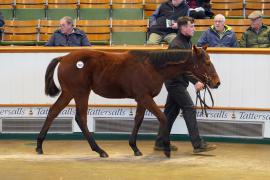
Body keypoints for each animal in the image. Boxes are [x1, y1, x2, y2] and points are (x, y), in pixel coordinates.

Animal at [35, 45, 220, 158]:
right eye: (207, 62)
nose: (216, 82)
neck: (152, 67)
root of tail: (64, 57)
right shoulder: (144, 97)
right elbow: (163, 118)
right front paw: (167, 148)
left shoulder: (141, 99)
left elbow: (138, 120)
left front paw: (135, 148)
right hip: (80, 93)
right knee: (80, 118)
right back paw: (100, 150)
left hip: (69, 93)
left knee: (53, 111)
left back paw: (39, 145)